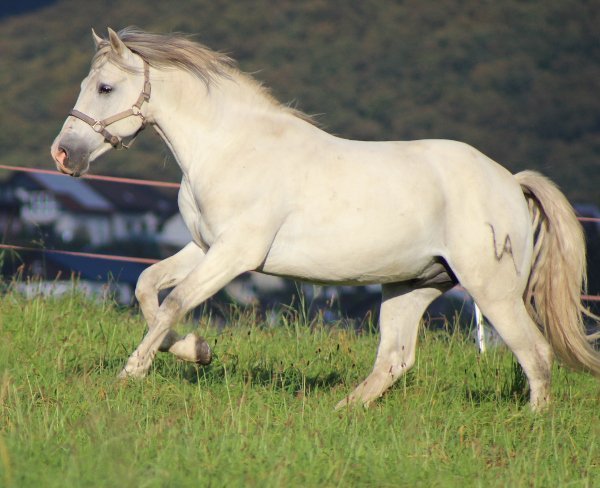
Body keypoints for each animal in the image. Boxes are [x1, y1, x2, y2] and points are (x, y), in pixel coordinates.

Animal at [51, 26, 600, 408]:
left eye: (104, 88)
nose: (62, 155)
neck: (230, 146)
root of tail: (510, 182)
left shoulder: (235, 254)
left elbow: (175, 302)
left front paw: (132, 373)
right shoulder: (205, 246)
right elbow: (148, 287)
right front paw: (196, 351)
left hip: (493, 290)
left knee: (536, 355)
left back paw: (533, 424)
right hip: (413, 286)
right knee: (395, 360)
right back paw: (340, 412)